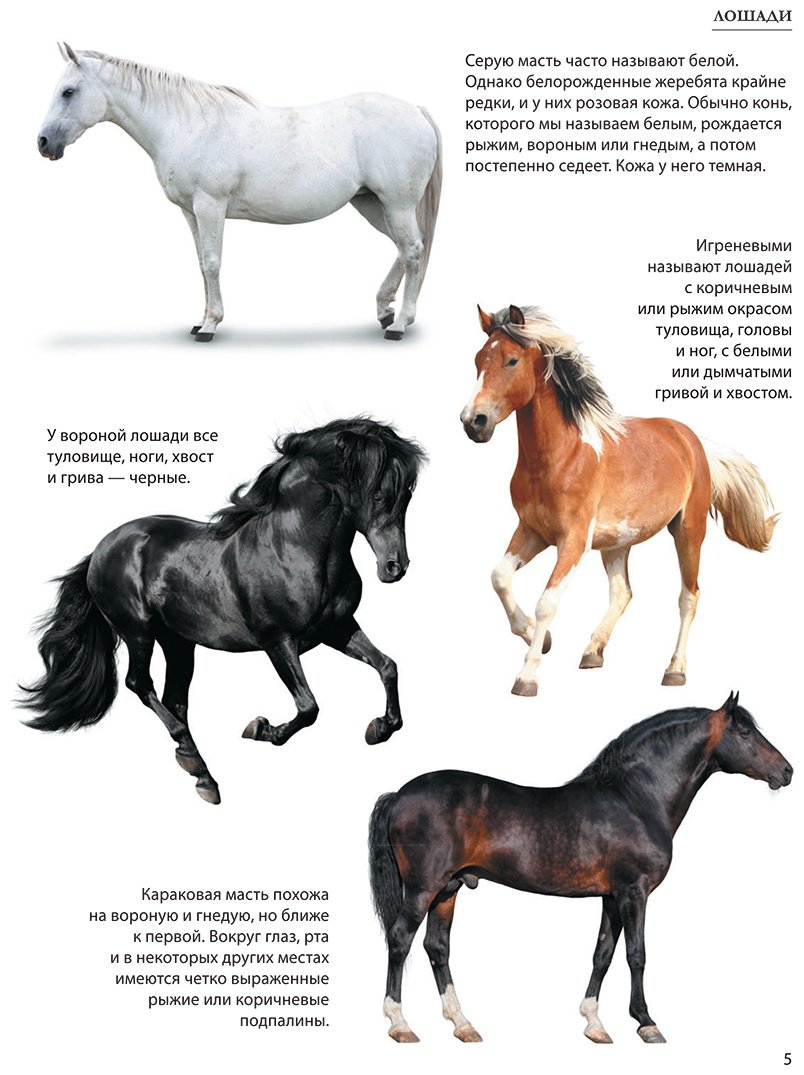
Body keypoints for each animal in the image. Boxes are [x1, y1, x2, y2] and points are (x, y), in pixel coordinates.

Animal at [20, 419, 425, 804]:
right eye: (378, 494)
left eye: (407, 494)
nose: (395, 567)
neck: (294, 547)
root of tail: (101, 550)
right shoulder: (278, 641)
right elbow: (309, 706)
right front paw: (261, 729)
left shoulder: (337, 629)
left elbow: (387, 666)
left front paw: (379, 728)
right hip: (138, 632)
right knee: (140, 684)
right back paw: (195, 762)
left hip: (178, 643)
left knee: (175, 700)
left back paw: (202, 776)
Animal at [37, 44, 442, 341]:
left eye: (68, 92)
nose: (43, 143)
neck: (185, 125)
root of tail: (417, 111)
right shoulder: (191, 212)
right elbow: (201, 264)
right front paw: (200, 321)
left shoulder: (209, 206)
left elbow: (213, 263)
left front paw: (210, 326)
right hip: (372, 203)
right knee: (406, 249)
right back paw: (385, 310)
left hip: (396, 204)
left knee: (413, 250)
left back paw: (399, 324)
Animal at [369, 693, 792, 1044]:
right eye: (744, 731)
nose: (786, 771)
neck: (635, 798)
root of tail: (399, 794)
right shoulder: (634, 892)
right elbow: (636, 954)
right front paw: (646, 1023)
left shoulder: (611, 897)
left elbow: (602, 954)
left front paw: (595, 1024)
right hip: (423, 889)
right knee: (400, 939)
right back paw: (400, 1024)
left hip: (448, 889)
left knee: (437, 947)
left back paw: (463, 1025)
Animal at [460, 304, 778, 696]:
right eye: (478, 360)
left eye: (511, 360)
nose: (474, 421)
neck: (561, 457)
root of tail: (693, 441)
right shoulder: (532, 531)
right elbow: (500, 577)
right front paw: (541, 639)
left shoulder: (573, 540)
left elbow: (546, 602)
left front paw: (527, 675)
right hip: (616, 543)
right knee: (623, 592)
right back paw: (592, 652)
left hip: (689, 530)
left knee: (689, 597)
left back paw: (674, 670)